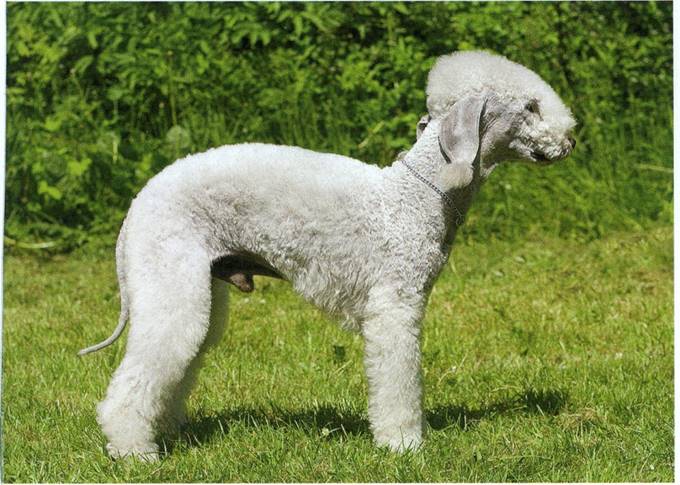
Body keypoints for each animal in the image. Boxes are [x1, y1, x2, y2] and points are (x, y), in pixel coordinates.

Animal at [82, 51, 576, 460]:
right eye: (532, 106)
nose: (570, 141)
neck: (416, 195)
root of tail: (139, 201)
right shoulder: (394, 309)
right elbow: (399, 383)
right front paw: (404, 445)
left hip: (200, 292)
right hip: (170, 283)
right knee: (134, 382)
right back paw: (135, 453)